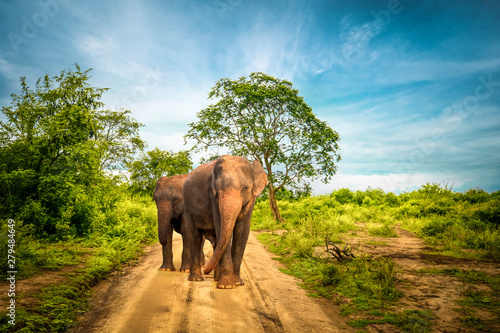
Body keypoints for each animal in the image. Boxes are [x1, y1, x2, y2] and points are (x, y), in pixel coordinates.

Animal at [183, 154, 268, 286]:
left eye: (244, 188)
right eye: (217, 190)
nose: (205, 269)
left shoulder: (251, 199)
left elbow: (242, 230)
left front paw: (237, 283)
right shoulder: (213, 198)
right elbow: (221, 227)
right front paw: (226, 285)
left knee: (215, 241)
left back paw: (216, 278)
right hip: (187, 209)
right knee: (195, 236)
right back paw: (196, 279)